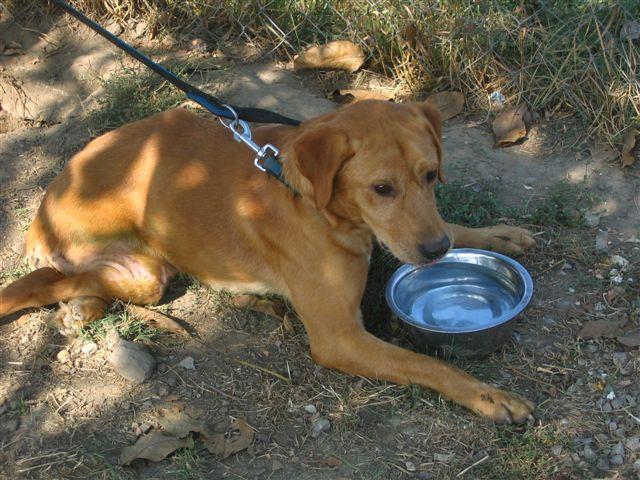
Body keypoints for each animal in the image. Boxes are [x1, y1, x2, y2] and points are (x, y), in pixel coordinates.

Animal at [0, 99, 536, 422]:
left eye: (430, 175)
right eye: (381, 188)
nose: (436, 252)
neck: (316, 201)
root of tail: (44, 206)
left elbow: (451, 226)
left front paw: (494, 233)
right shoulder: (338, 337)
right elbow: (426, 363)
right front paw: (486, 395)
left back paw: (81, 311)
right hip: (146, 271)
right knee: (44, 279)